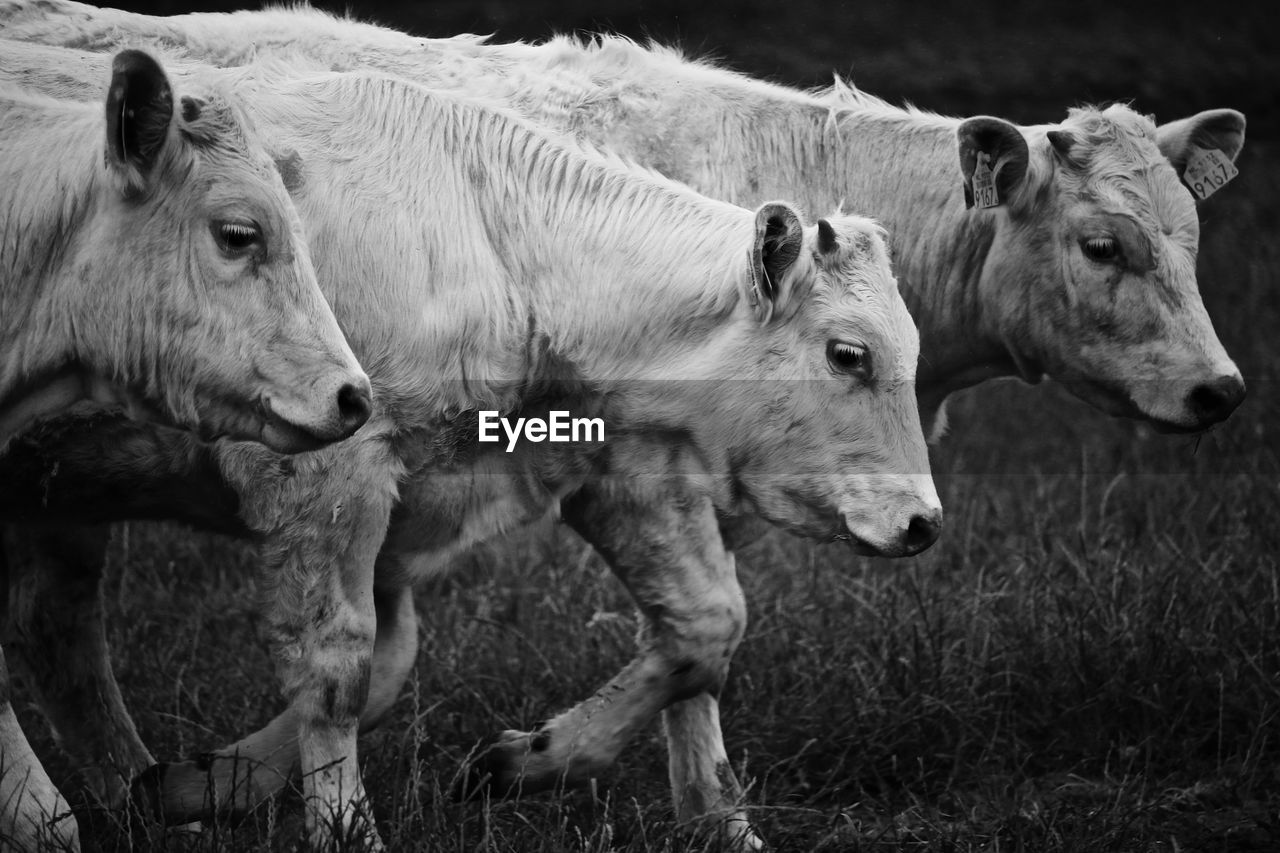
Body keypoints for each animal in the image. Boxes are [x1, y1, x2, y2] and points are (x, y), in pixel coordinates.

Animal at [0, 48, 942, 850]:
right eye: (848, 353)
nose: (924, 521)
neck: (484, 229)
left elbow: (696, 628)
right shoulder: (323, 476)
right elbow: (340, 668)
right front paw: (342, 826)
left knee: (57, 630)